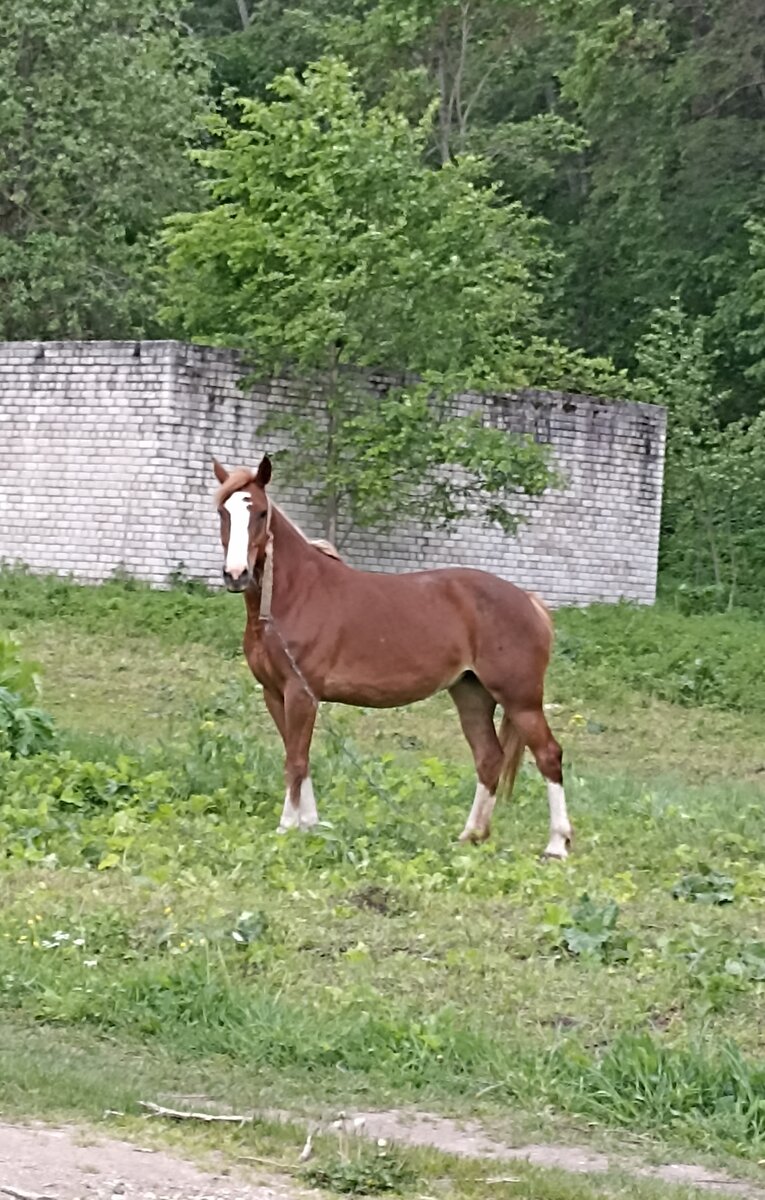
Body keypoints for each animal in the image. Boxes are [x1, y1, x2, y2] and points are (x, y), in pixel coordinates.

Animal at [213, 453, 573, 859]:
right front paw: (310, 825)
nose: (236, 574)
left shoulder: (300, 693)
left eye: (259, 512)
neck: (295, 594)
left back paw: (557, 845)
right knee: (489, 757)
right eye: (223, 511)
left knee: (548, 755)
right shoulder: (275, 693)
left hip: (520, 699)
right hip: (472, 694)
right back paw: (471, 835)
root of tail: (529, 600)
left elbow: (296, 760)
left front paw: (287, 827)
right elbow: (297, 756)